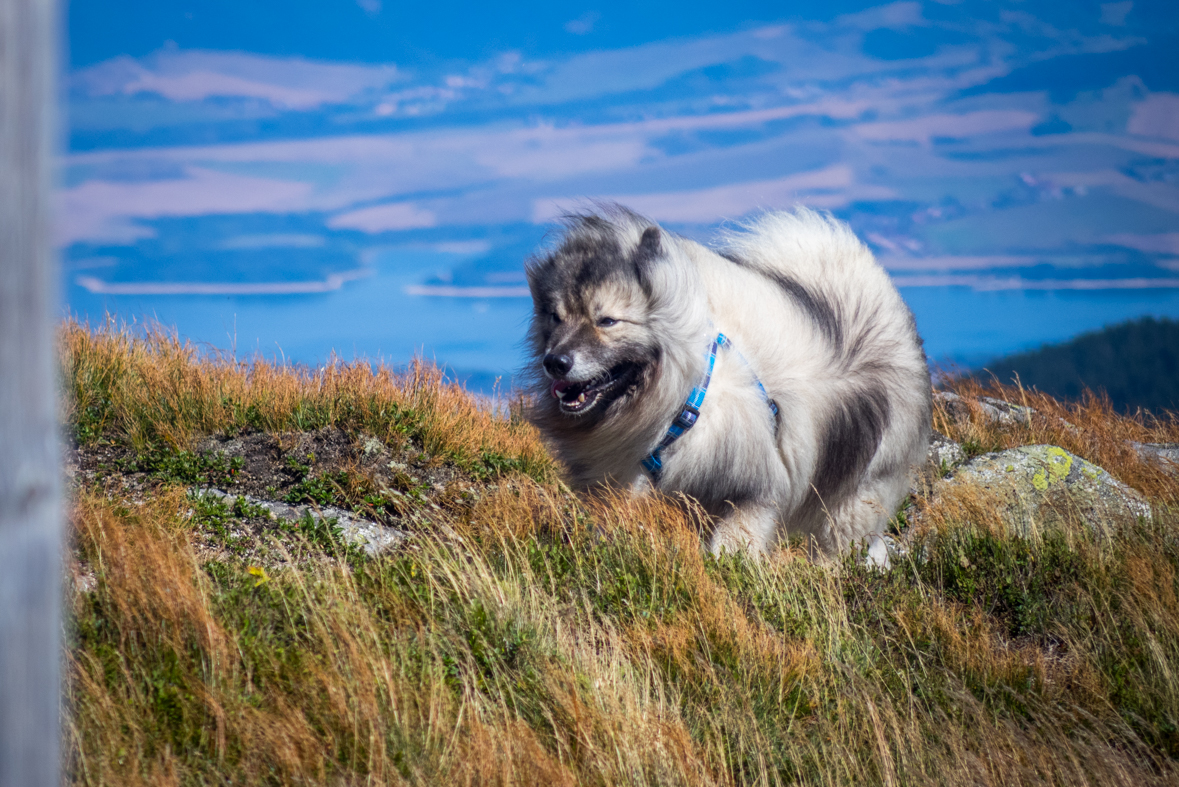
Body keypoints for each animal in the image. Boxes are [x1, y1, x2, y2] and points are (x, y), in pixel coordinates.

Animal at [525, 202, 929, 558]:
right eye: (556, 317)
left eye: (607, 321)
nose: (555, 362)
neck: (687, 396)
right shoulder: (630, 482)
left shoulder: (752, 491)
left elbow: (731, 546)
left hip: (856, 494)